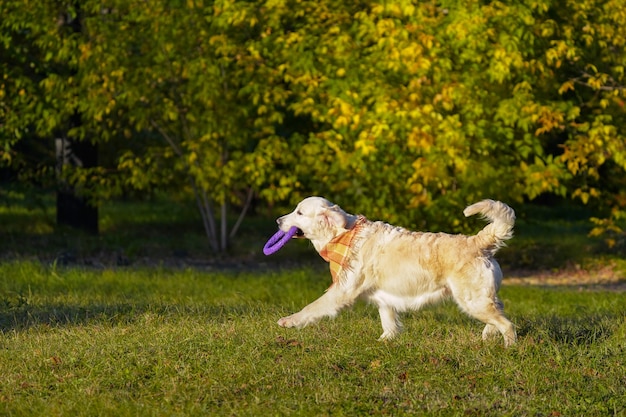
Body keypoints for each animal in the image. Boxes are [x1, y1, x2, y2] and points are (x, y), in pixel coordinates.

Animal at [276, 197, 516, 346]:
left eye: (299, 212)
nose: (278, 220)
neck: (344, 235)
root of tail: (478, 241)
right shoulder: (384, 298)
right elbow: (388, 322)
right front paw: (385, 341)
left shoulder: (341, 291)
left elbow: (311, 307)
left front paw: (289, 321)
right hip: (481, 299)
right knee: (500, 311)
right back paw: (487, 335)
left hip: (472, 300)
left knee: (508, 324)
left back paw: (509, 348)